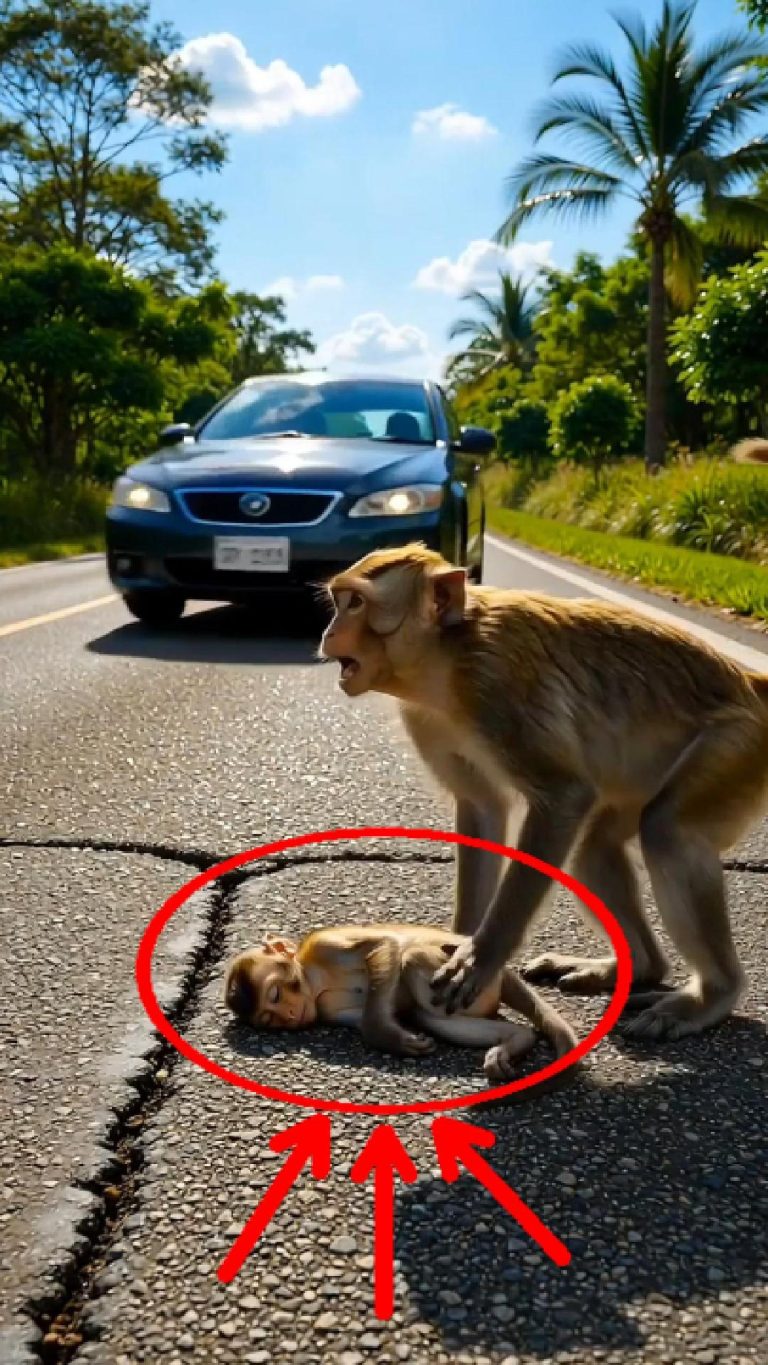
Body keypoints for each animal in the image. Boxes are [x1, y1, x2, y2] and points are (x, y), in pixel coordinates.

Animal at [224, 924, 577, 1082]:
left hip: (466, 978)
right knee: (431, 1017)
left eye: (277, 994)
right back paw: (515, 1042)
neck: (314, 978)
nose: (290, 1014)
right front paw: (391, 1035)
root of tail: (499, 972)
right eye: (270, 1018)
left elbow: (384, 944)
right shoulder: (324, 1007)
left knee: (411, 956)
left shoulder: (323, 945)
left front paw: (382, 1034)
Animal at [318, 541, 768, 1075]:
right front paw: (452, 945)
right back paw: (635, 968)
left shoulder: (497, 689)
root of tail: (752, 682)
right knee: (595, 848)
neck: (448, 658)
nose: (328, 633)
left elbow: (564, 796)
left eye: (357, 603)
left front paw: (482, 958)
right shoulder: (425, 717)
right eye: (339, 600)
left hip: (737, 746)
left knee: (667, 831)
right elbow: (483, 807)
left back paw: (711, 996)